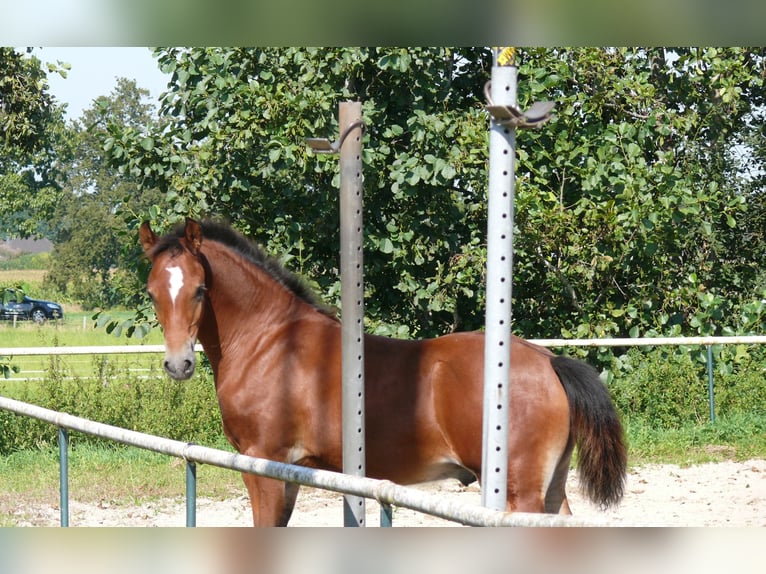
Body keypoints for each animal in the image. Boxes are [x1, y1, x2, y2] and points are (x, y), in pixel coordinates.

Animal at [141, 219, 628, 528]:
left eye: (200, 289)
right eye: (151, 292)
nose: (178, 364)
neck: (272, 342)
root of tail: (548, 361)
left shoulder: (265, 466)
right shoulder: (291, 472)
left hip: (519, 492)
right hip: (549, 489)